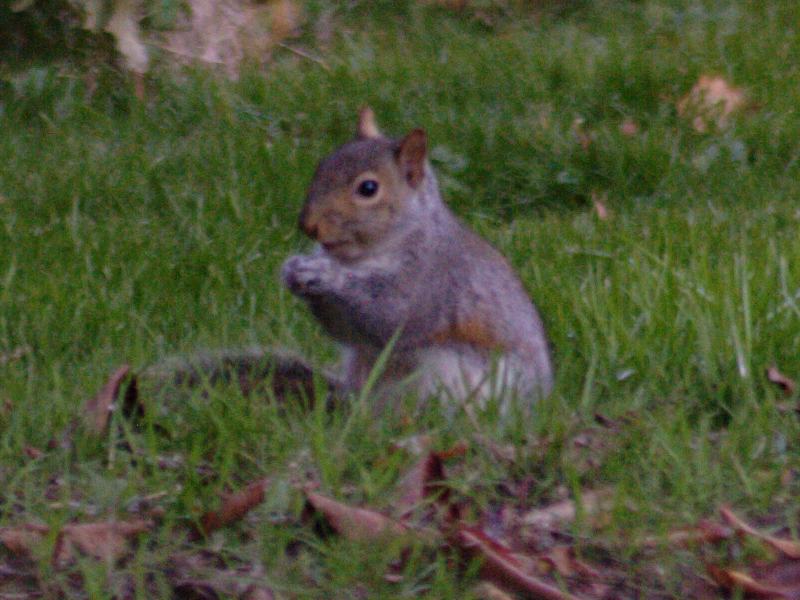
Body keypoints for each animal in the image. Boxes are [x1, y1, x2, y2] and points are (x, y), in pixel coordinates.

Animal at [280, 108, 554, 411]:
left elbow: (393, 316)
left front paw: (327, 275)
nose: (308, 225)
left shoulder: (434, 281)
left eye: (368, 188)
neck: (365, 256)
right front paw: (292, 269)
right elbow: (345, 329)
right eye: (321, 166)